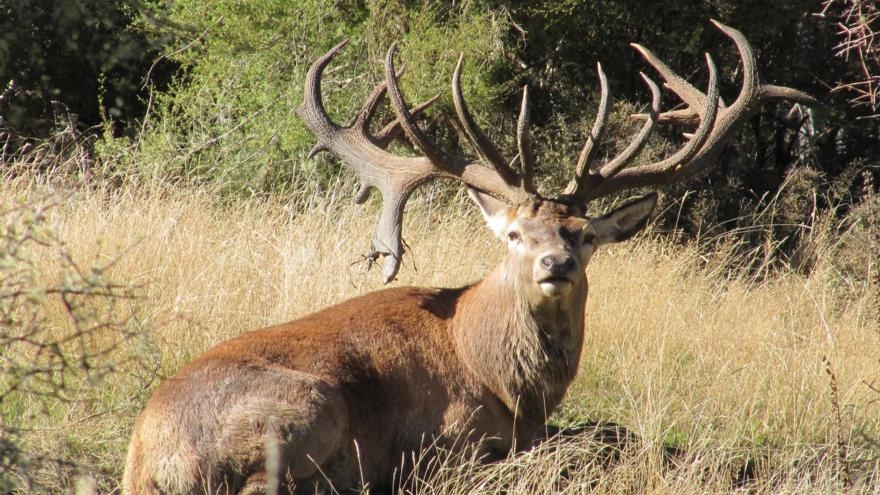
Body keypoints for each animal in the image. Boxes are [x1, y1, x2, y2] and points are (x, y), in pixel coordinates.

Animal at [122, 22, 812, 495]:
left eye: (585, 234)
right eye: (514, 235)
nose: (555, 263)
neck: (499, 374)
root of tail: (148, 458)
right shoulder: (446, 446)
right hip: (308, 406)